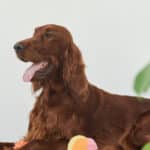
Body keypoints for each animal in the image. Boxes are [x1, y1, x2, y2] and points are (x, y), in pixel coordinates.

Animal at [0, 24, 150, 149]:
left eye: (49, 35)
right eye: (34, 33)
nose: (16, 46)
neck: (53, 95)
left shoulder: (70, 138)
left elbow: (35, 143)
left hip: (133, 132)